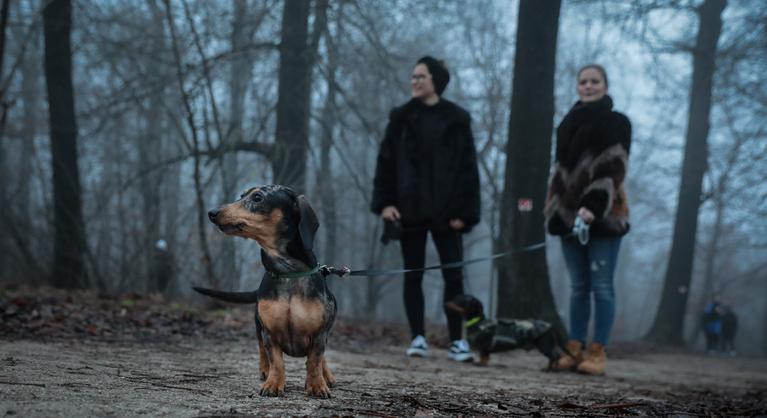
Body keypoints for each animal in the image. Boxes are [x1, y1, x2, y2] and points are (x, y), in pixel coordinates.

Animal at [194, 186, 334, 398]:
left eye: (258, 197)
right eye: (241, 196)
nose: (212, 213)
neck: (288, 273)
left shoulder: (319, 333)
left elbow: (315, 360)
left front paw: (317, 385)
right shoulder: (269, 332)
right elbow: (276, 361)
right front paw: (273, 383)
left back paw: (327, 375)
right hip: (258, 325)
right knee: (261, 349)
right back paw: (264, 370)